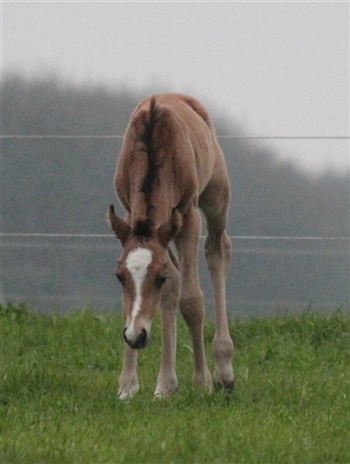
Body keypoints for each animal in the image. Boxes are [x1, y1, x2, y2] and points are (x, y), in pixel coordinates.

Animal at [108, 94, 234, 398]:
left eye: (158, 277)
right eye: (119, 277)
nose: (136, 336)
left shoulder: (188, 216)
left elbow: (192, 300)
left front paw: (202, 382)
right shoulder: (130, 214)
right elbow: (134, 302)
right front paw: (127, 386)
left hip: (216, 196)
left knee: (217, 251)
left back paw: (223, 371)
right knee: (177, 280)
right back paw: (166, 384)